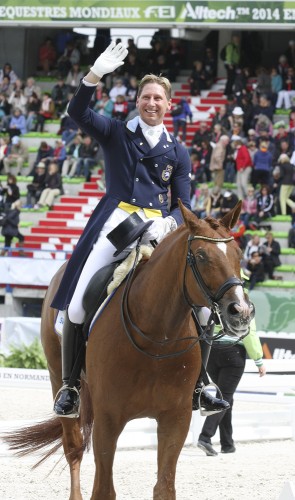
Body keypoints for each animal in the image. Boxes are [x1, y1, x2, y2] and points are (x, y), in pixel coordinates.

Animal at [2, 201, 254, 498]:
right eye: (201, 255)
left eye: (239, 253)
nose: (241, 312)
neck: (156, 337)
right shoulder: (108, 420)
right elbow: (103, 489)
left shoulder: (175, 419)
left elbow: (164, 487)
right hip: (57, 377)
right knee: (73, 449)